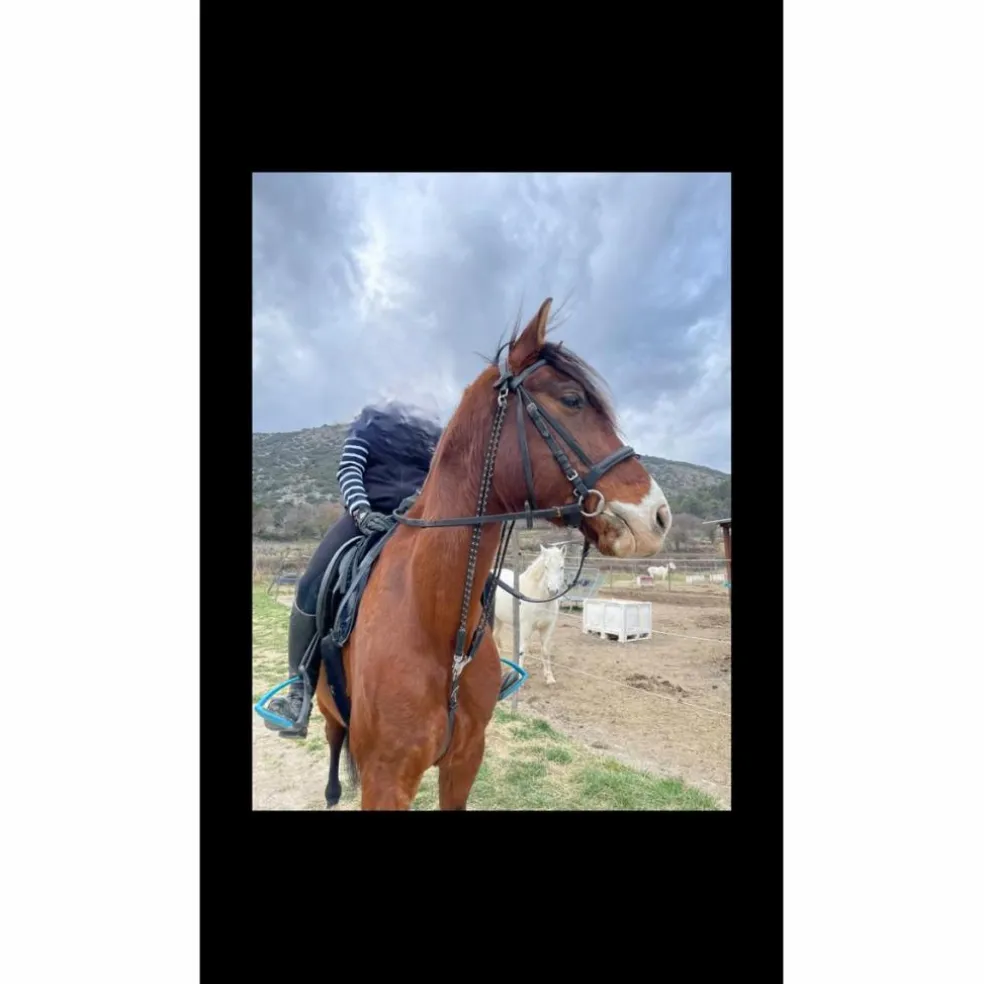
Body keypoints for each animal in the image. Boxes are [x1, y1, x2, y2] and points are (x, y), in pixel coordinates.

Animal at [492, 544, 567, 686]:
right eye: (546, 567)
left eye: (562, 567)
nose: (552, 590)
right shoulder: (526, 628)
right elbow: (523, 650)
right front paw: (518, 678)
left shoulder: (548, 627)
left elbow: (545, 651)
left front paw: (549, 677)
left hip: (499, 620)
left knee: (495, 636)